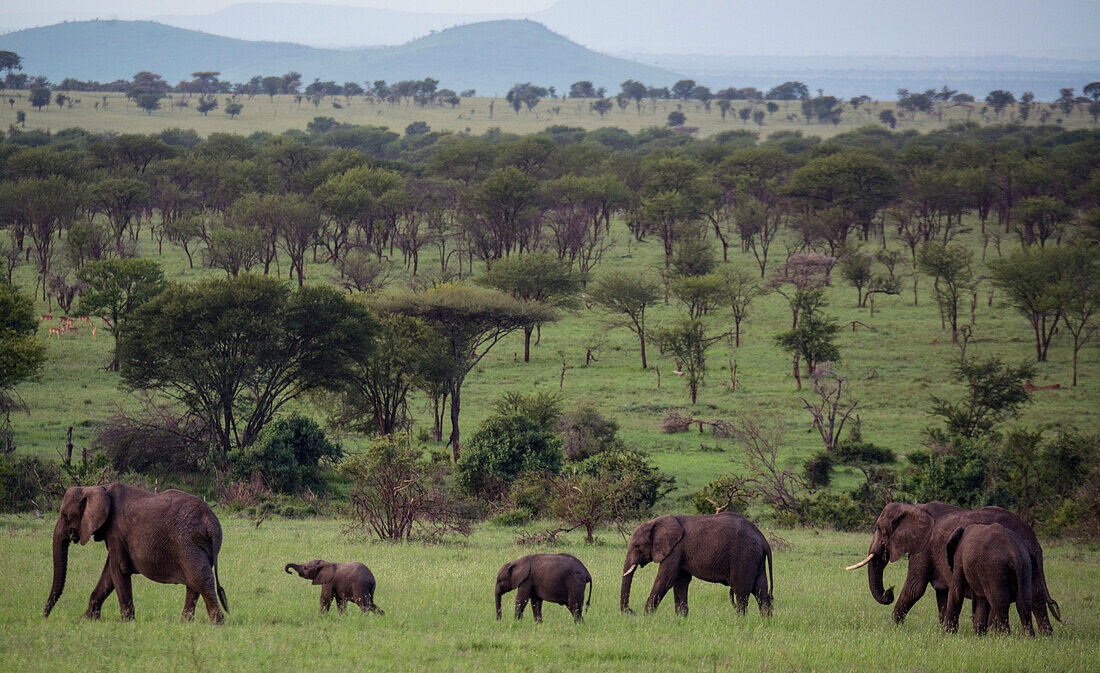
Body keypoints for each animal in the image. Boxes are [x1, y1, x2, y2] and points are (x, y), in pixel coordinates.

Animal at [45, 483, 229, 620]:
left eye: (65, 515)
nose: (45, 616)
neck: (98, 488)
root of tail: (211, 521)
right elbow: (108, 574)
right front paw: (86, 620)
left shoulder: (116, 530)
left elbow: (118, 570)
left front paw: (127, 623)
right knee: (194, 582)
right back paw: (185, 623)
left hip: (187, 542)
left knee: (200, 579)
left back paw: (216, 623)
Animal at [620, 512, 774, 615]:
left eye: (637, 546)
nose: (630, 611)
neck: (656, 522)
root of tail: (763, 539)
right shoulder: (680, 553)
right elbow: (680, 581)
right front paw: (681, 619)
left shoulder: (675, 550)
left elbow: (665, 579)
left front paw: (647, 617)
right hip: (756, 559)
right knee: (761, 592)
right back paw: (766, 622)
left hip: (744, 556)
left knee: (741, 591)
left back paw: (740, 621)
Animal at [844, 501, 1060, 633]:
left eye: (880, 529)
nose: (889, 591)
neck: (914, 508)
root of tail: (1034, 541)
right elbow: (941, 592)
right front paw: (942, 630)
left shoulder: (924, 547)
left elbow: (915, 589)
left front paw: (895, 626)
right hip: (1029, 563)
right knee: (1036, 596)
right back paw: (1045, 636)